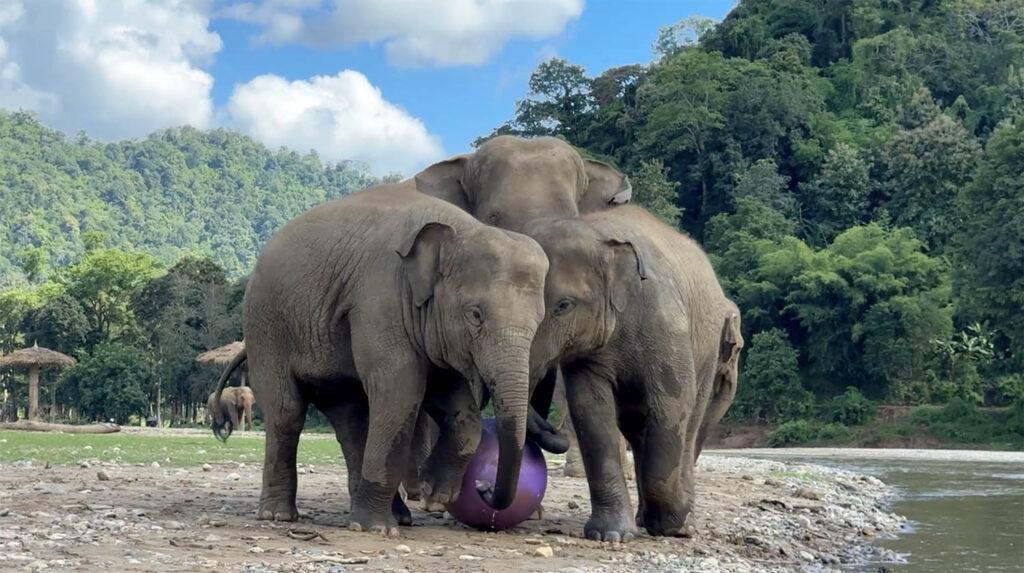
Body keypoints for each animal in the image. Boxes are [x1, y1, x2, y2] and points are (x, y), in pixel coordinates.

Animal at [210, 182, 549, 536]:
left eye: (540, 321)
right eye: (475, 315)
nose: (483, 487)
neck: (460, 228)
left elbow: (453, 399)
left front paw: (434, 493)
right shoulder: (380, 298)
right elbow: (401, 390)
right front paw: (378, 529)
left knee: (351, 420)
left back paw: (393, 515)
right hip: (266, 327)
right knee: (286, 412)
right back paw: (281, 516)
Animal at [523, 205, 743, 541]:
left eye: (563, 305)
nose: (553, 435)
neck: (597, 233)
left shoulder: (666, 321)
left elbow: (671, 404)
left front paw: (674, 525)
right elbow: (590, 411)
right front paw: (610, 535)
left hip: (705, 350)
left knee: (687, 425)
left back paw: (680, 522)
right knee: (637, 428)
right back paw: (648, 519)